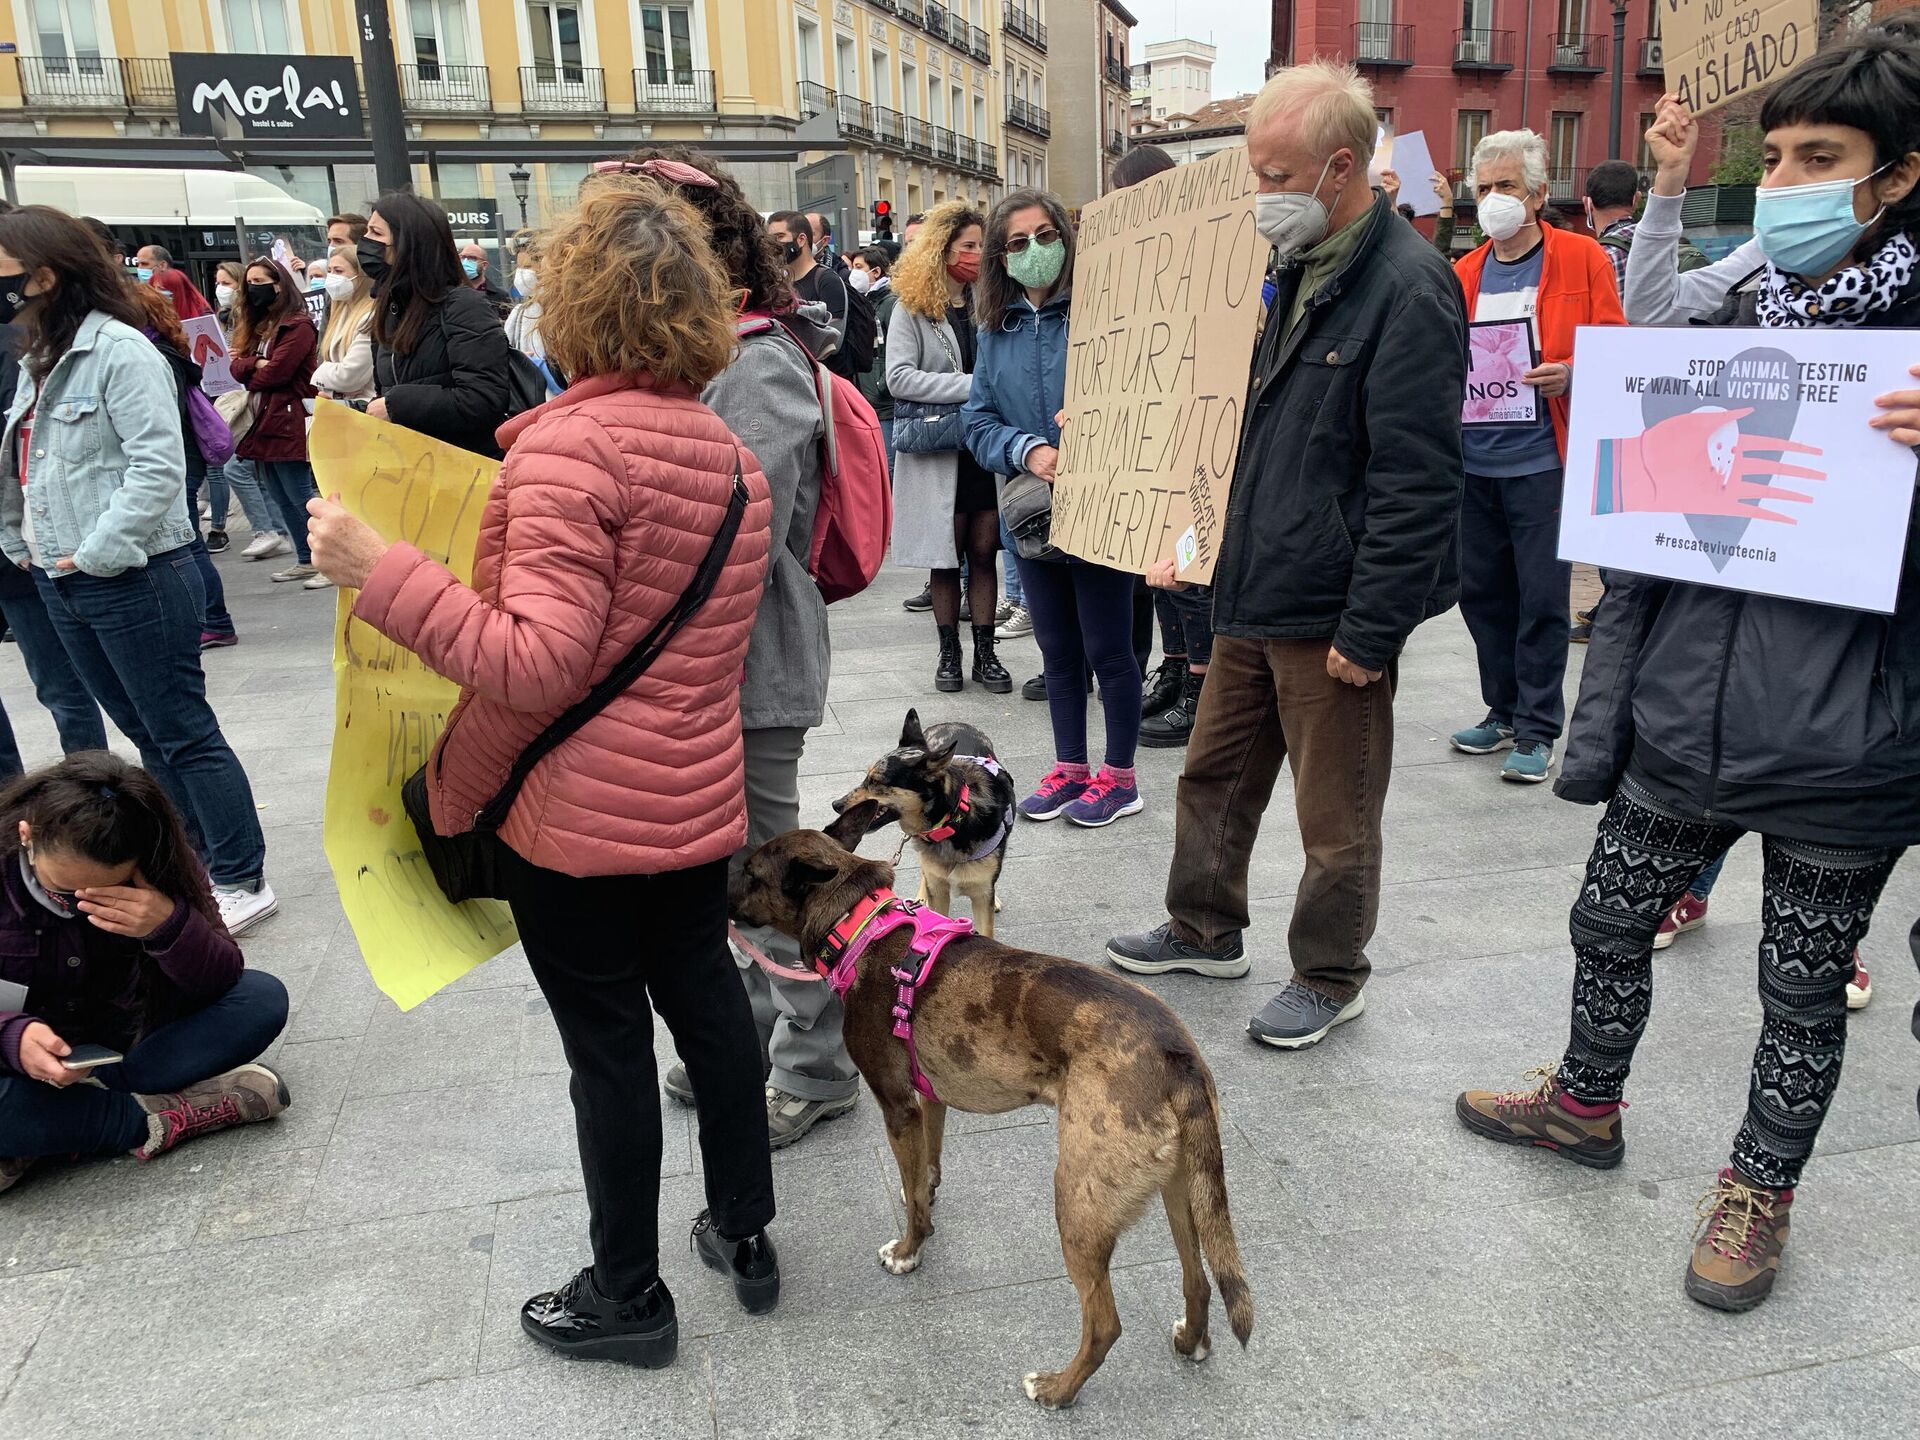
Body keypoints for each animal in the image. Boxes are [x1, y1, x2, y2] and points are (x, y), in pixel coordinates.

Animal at [725, 802, 1251, 1413]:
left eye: (751, 873)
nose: (714, 894)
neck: (859, 924)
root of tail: (1176, 1053)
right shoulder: (929, 1100)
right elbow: (923, 1172)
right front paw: (925, 1197)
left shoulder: (898, 1106)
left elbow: (911, 1200)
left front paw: (910, 1249)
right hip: (1179, 1192)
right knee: (1198, 1278)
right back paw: (1192, 1341)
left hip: (1079, 1200)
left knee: (1104, 1323)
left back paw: (1057, 1389)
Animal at [837, 706, 1021, 936]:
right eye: (866, 778)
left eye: (876, 782)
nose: (836, 805)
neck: (953, 820)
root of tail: (952, 723)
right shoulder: (939, 891)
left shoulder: (981, 896)